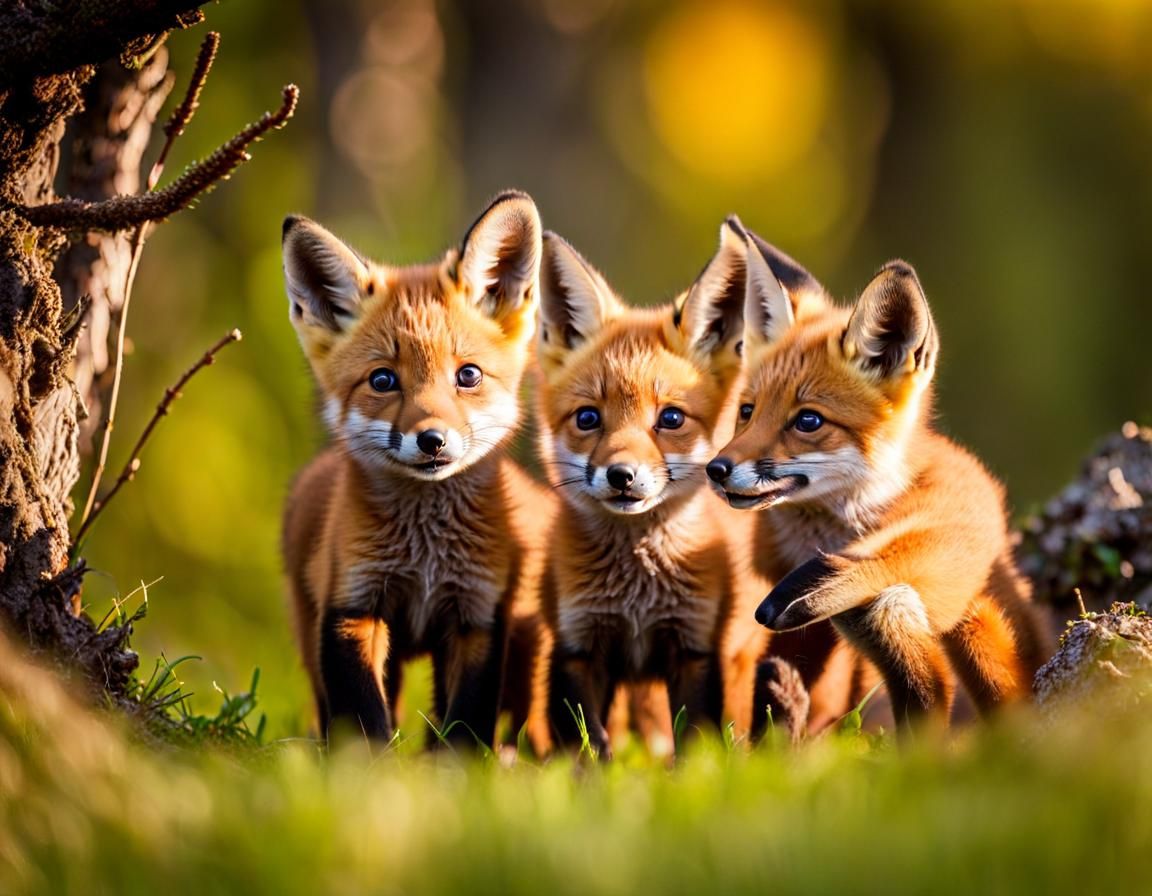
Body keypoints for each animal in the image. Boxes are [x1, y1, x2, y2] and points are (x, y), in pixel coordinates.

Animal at [280, 191, 555, 749]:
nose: (432, 440)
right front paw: (367, 766)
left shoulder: (477, 616)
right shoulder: (351, 606)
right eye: (383, 380)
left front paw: (458, 766)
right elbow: (362, 716)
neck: (425, 556)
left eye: (467, 375)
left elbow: (466, 721)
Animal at [534, 218, 773, 757]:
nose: (621, 475)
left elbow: (695, 740)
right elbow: (590, 743)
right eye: (587, 418)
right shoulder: (578, 645)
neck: (637, 598)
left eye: (671, 418)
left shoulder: (694, 647)